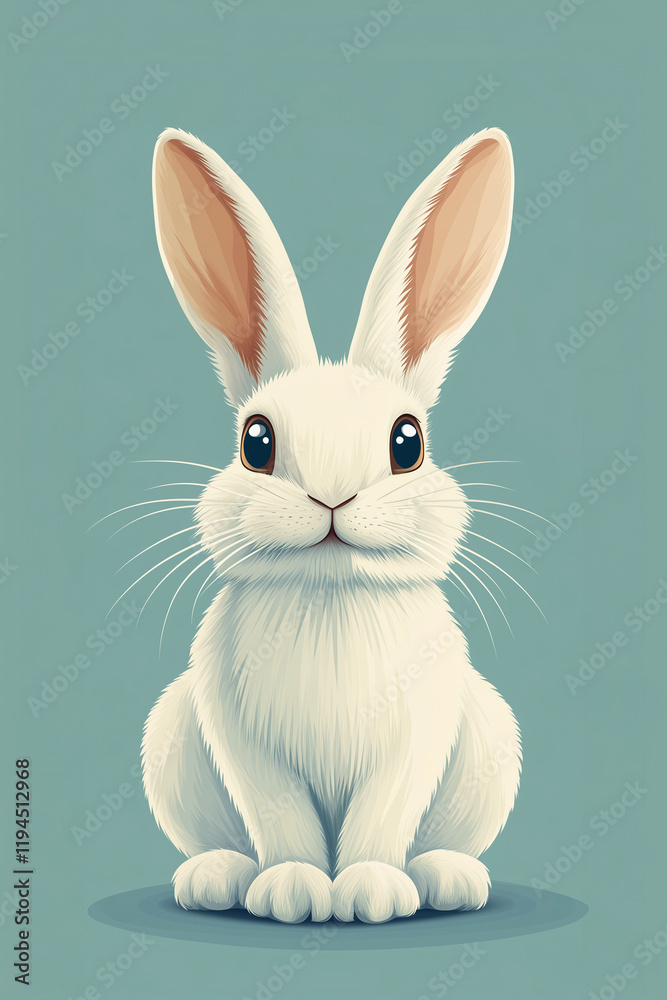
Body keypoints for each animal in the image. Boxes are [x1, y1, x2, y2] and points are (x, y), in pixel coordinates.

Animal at [141, 125, 522, 924]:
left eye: (407, 441)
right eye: (255, 441)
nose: (332, 499)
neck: (330, 592)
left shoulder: (417, 739)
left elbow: (383, 816)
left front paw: (370, 892)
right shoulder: (245, 744)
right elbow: (281, 818)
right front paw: (292, 891)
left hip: (491, 743)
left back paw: (448, 880)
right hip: (170, 740)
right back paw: (215, 879)